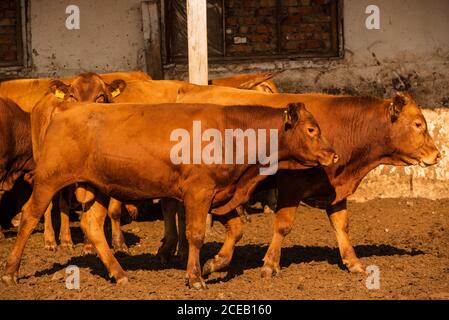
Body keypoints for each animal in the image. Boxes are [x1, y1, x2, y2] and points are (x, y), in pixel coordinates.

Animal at [2, 100, 336, 288]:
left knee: (92, 226)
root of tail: (64, 109)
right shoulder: (199, 193)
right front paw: (195, 277)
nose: (332, 154)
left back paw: (119, 272)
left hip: (97, 187)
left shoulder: (221, 194)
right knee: (30, 217)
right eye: (311, 130)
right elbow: (196, 235)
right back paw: (11, 271)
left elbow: (236, 230)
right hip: (49, 180)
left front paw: (215, 264)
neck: (231, 133)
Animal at [174, 85, 438, 278]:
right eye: (418, 124)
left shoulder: (335, 190)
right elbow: (283, 225)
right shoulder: (292, 186)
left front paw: (354, 262)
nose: (436, 154)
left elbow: (341, 225)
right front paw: (270, 264)